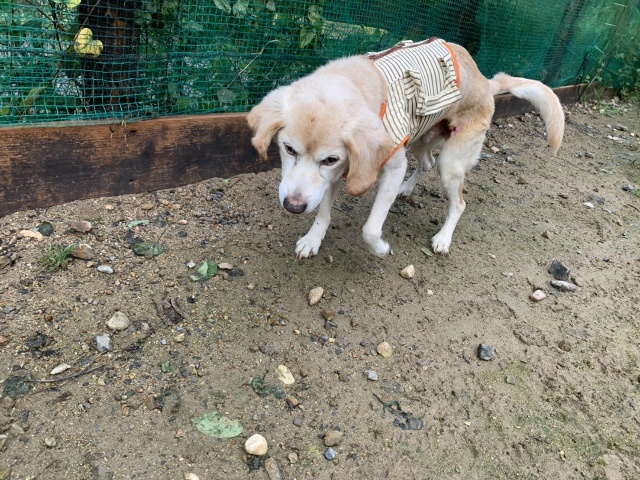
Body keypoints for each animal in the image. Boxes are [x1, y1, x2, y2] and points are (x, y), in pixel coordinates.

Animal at [247, 38, 564, 258]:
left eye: (329, 159)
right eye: (289, 149)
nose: (293, 207)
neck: (355, 83)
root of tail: (486, 81)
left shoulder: (384, 165)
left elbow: (370, 228)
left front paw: (380, 248)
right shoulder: (336, 177)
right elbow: (323, 212)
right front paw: (313, 240)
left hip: (451, 163)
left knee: (459, 202)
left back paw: (443, 238)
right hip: (421, 138)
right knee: (426, 164)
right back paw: (406, 189)